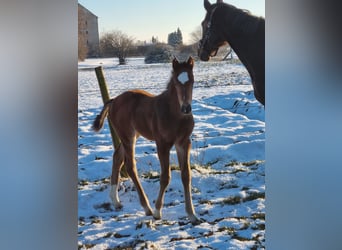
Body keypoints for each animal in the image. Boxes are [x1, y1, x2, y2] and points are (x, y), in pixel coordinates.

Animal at [92, 57, 202, 226]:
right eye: (176, 82)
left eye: (192, 81)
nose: (186, 108)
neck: (175, 115)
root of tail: (114, 101)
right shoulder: (162, 144)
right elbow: (165, 177)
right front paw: (157, 212)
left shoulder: (183, 143)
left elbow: (186, 176)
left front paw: (192, 215)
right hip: (128, 136)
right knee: (130, 166)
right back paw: (147, 208)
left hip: (131, 135)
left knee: (117, 157)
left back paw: (116, 201)